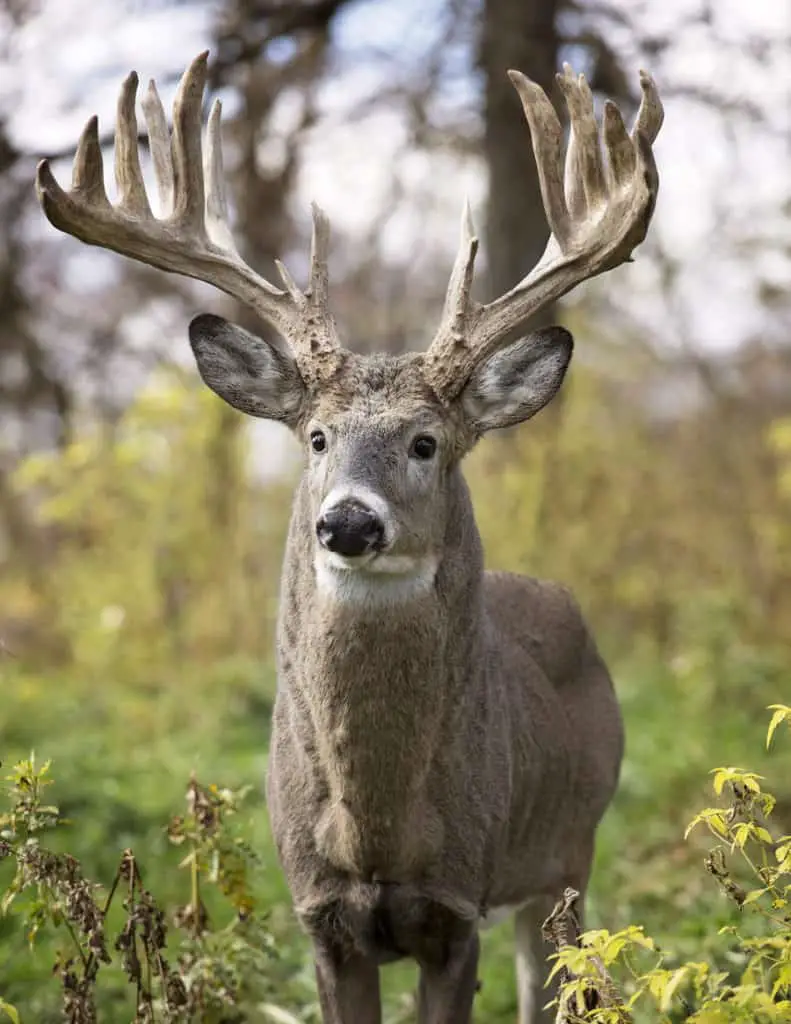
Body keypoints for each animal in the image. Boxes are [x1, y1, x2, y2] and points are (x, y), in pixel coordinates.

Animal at [35, 54, 659, 1024]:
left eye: (425, 442)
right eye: (317, 438)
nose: (348, 522)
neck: (377, 832)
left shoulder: (457, 908)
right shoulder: (320, 916)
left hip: (570, 853)